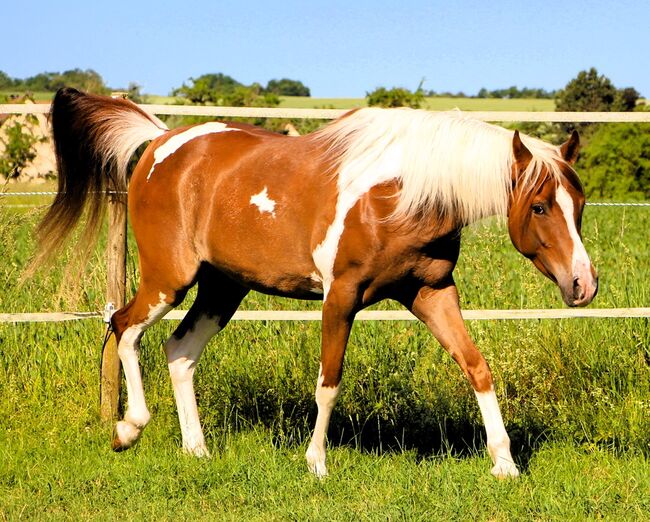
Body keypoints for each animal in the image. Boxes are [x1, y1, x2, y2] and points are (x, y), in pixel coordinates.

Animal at [35, 87, 598, 479]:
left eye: (580, 204)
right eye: (540, 206)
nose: (583, 285)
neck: (401, 194)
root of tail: (158, 142)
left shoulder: (431, 292)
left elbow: (476, 367)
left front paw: (505, 464)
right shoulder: (341, 296)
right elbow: (329, 382)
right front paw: (316, 464)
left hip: (224, 286)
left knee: (179, 349)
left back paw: (198, 450)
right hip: (168, 278)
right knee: (124, 327)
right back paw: (128, 429)